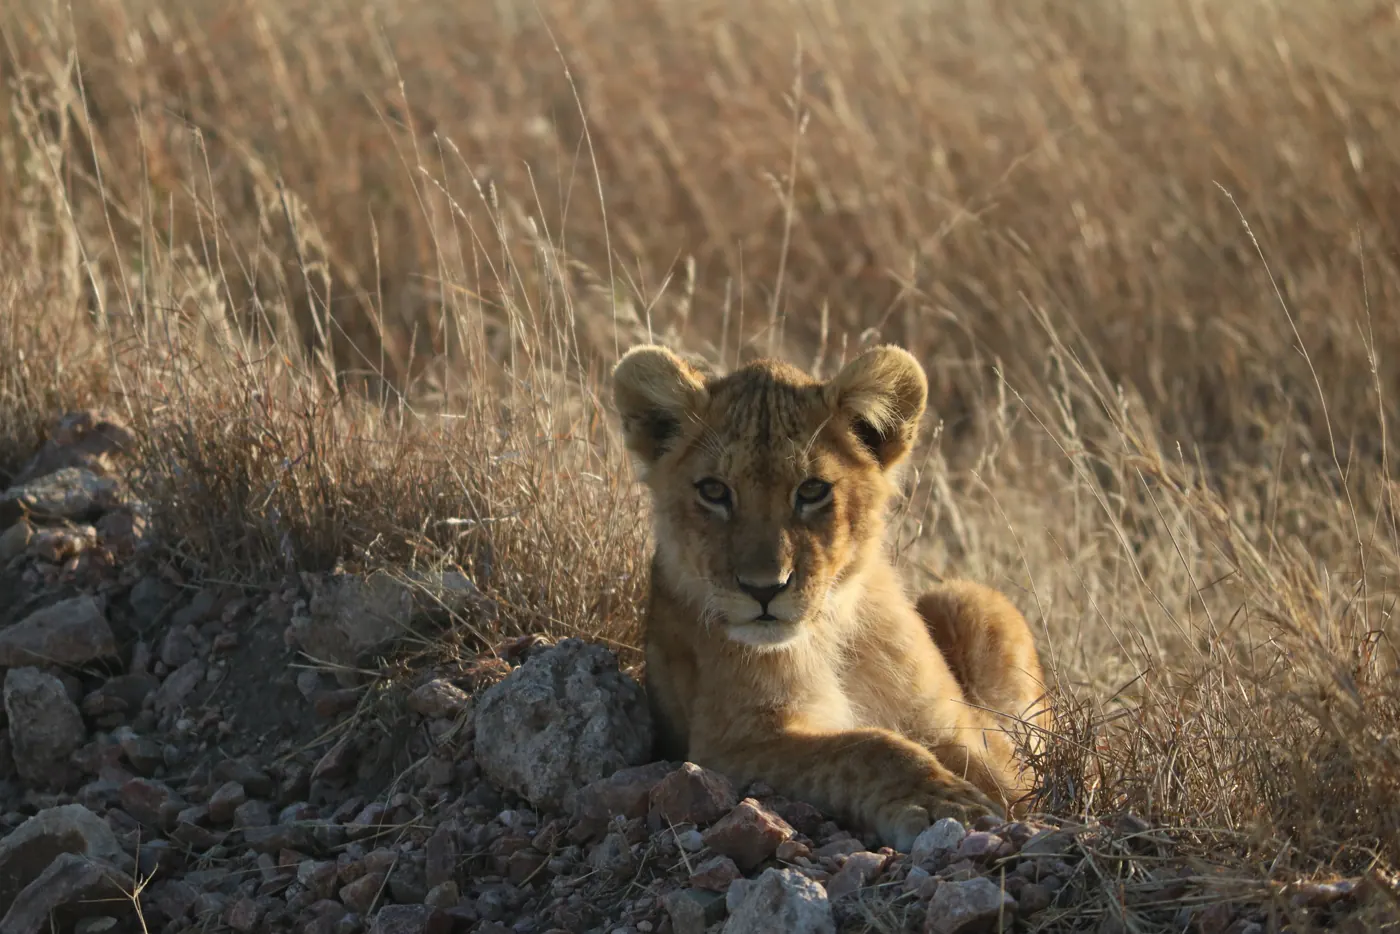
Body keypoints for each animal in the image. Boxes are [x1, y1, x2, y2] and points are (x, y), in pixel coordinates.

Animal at [611, 342, 1051, 851]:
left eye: (812, 490)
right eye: (714, 491)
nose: (764, 589)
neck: (829, 630)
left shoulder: (947, 721)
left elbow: (1007, 774)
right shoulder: (727, 744)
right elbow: (867, 747)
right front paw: (947, 804)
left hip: (967, 597)